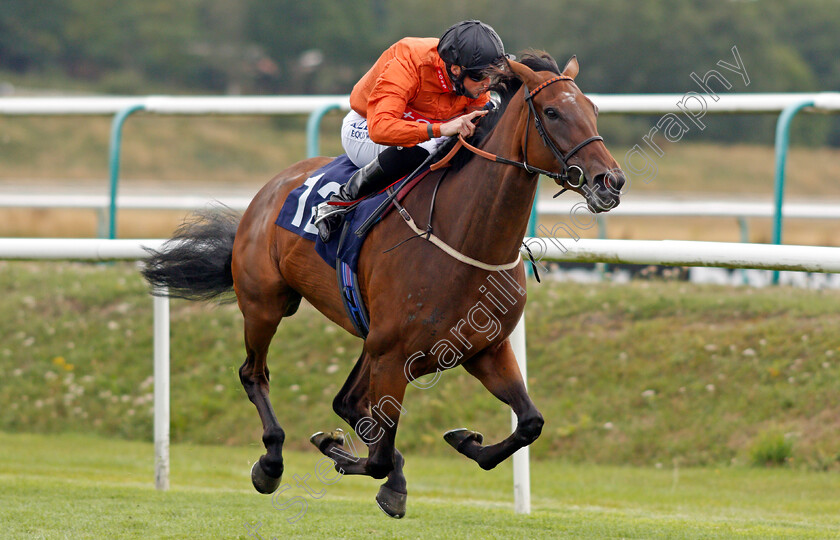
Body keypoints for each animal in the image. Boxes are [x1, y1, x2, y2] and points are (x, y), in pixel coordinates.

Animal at [143, 51, 624, 520]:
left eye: (593, 110)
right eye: (553, 112)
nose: (611, 180)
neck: (464, 235)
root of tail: (269, 189)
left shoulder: (482, 349)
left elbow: (529, 423)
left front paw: (463, 441)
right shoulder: (393, 354)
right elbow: (374, 457)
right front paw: (344, 454)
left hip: (368, 337)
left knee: (347, 401)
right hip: (266, 304)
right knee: (255, 374)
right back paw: (271, 463)